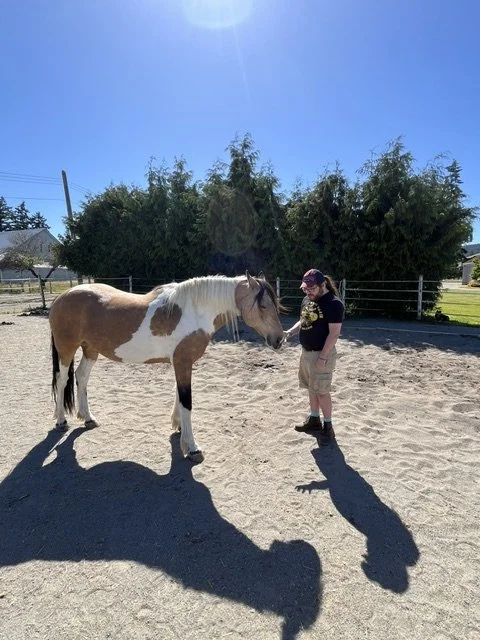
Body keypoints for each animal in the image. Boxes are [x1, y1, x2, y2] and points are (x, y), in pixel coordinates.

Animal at [49, 272, 284, 463]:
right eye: (263, 306)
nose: (279, 339)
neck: (194, 312)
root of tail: (62, 296)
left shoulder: (181, 363)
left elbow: (179, 395)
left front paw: (178, 428)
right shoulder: (182, 362)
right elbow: (187, 401)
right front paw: (192, 448)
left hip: (90, 349)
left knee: (81, 376)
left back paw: (88, 418)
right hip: (67, 349)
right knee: (62, 380)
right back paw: (61, 420)